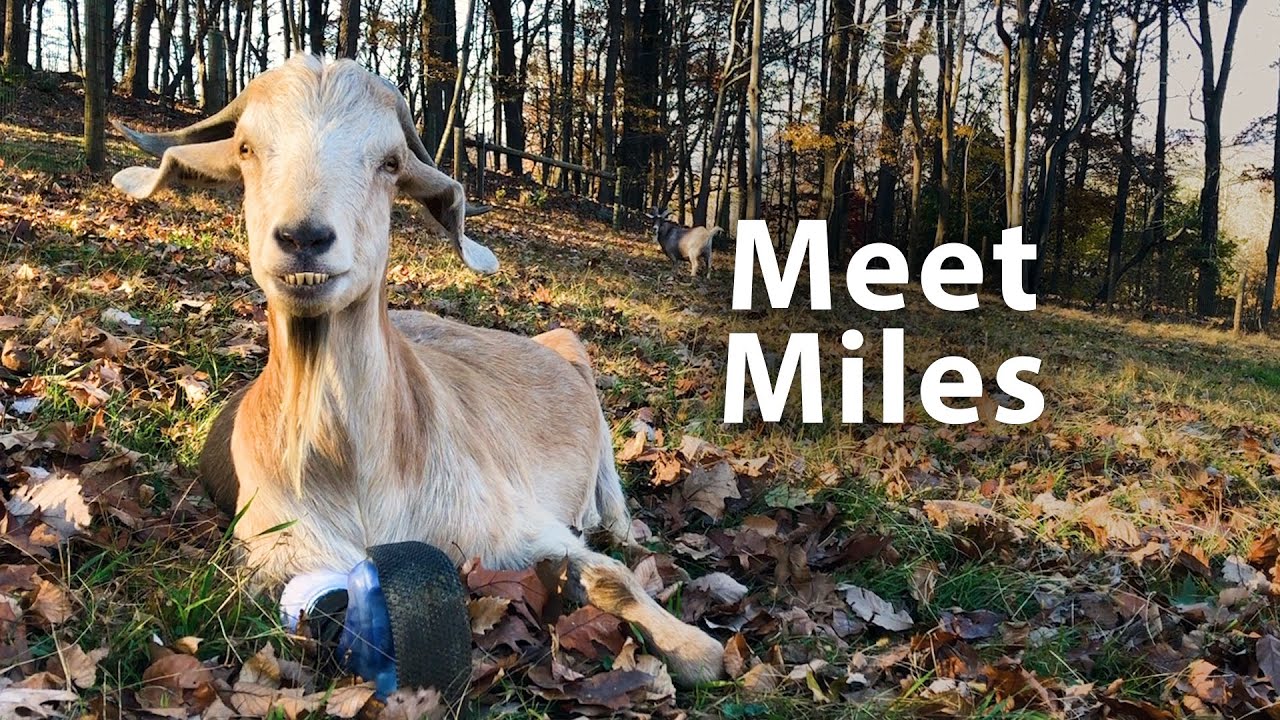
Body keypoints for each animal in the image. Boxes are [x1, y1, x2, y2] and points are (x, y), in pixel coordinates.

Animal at [110, 56, 724, 685]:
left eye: (390, 162)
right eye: (246, 148)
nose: (304, 238)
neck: (354, 470)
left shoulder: (515, 521)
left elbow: (610, 575)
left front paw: (698, 650)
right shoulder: (281, 554)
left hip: (573, 351)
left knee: (614, 507)